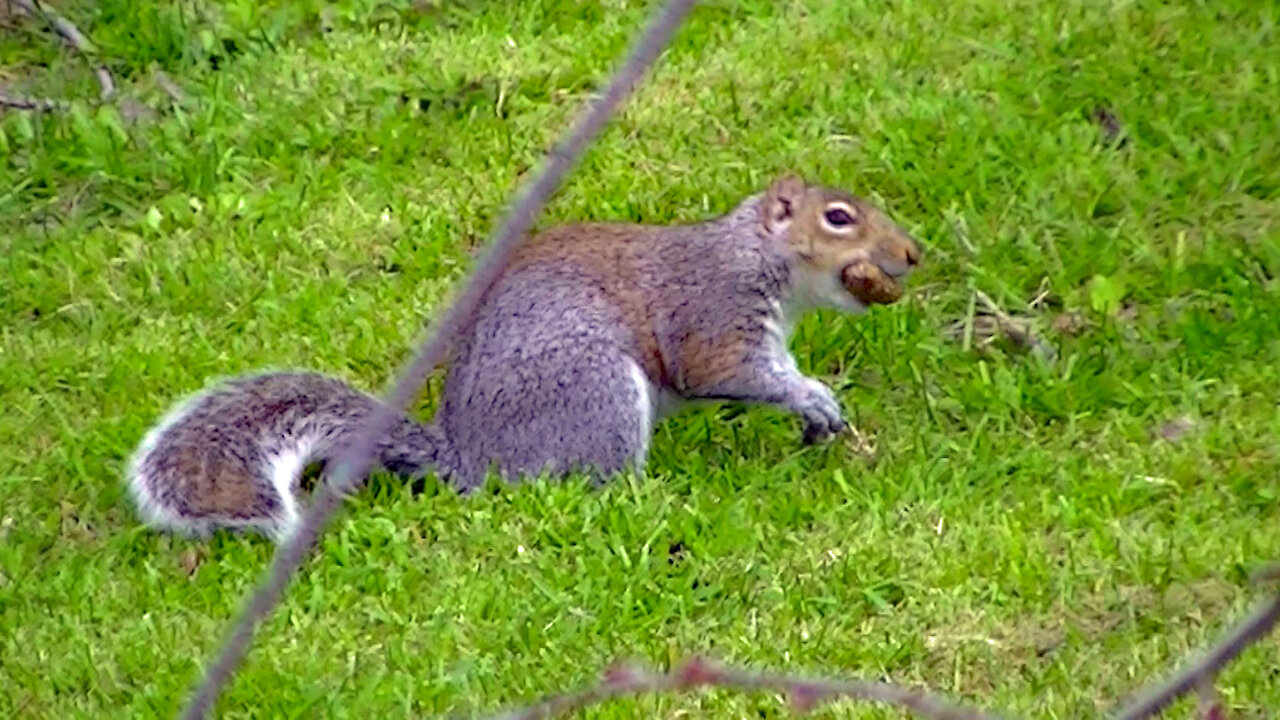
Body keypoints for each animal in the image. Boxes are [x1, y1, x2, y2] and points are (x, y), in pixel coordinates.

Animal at [124, 176, 921, 540]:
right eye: (839, 218)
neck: (755, 254)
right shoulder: (715, 314)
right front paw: (811, 396)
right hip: (593, 388)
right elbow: (729, 371)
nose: (911, 254)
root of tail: (472, 460)